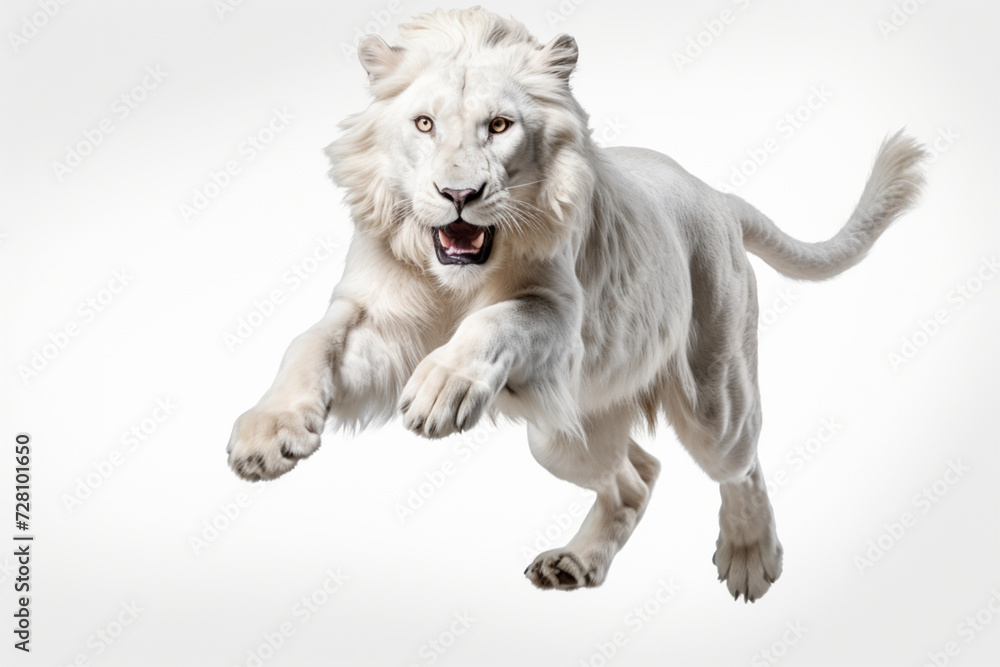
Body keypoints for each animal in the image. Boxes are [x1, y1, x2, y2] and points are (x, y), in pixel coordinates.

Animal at [226, 7, 926, 602]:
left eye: (499, 126)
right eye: (424, 124)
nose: (459, 194)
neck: (454, 276)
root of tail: (717, 195)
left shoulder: (560, 319)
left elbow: (495, 321)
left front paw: (441, 388)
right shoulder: (374, 314)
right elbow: (308, 341)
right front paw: (267, 435)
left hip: (714, 398)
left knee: (741, 464)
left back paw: (751, 557)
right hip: (563, 434)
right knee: (637, 472)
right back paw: (575, 563)